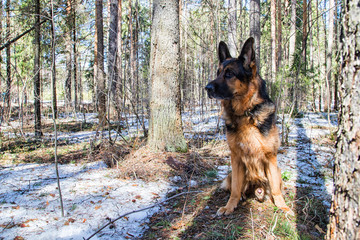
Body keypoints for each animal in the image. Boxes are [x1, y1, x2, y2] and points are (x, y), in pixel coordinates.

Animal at [205, 37, 292, 216]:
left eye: (229, 74)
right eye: (218, 73)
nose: (207, 88)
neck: (245, 112)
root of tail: (256, 188)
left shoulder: (271, 158)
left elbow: (275, 188)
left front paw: (282, 206)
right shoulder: (236, 158)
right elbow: (235, 189)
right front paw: (230, 206)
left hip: (277, 170)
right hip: (231, 174)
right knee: (236, 187)